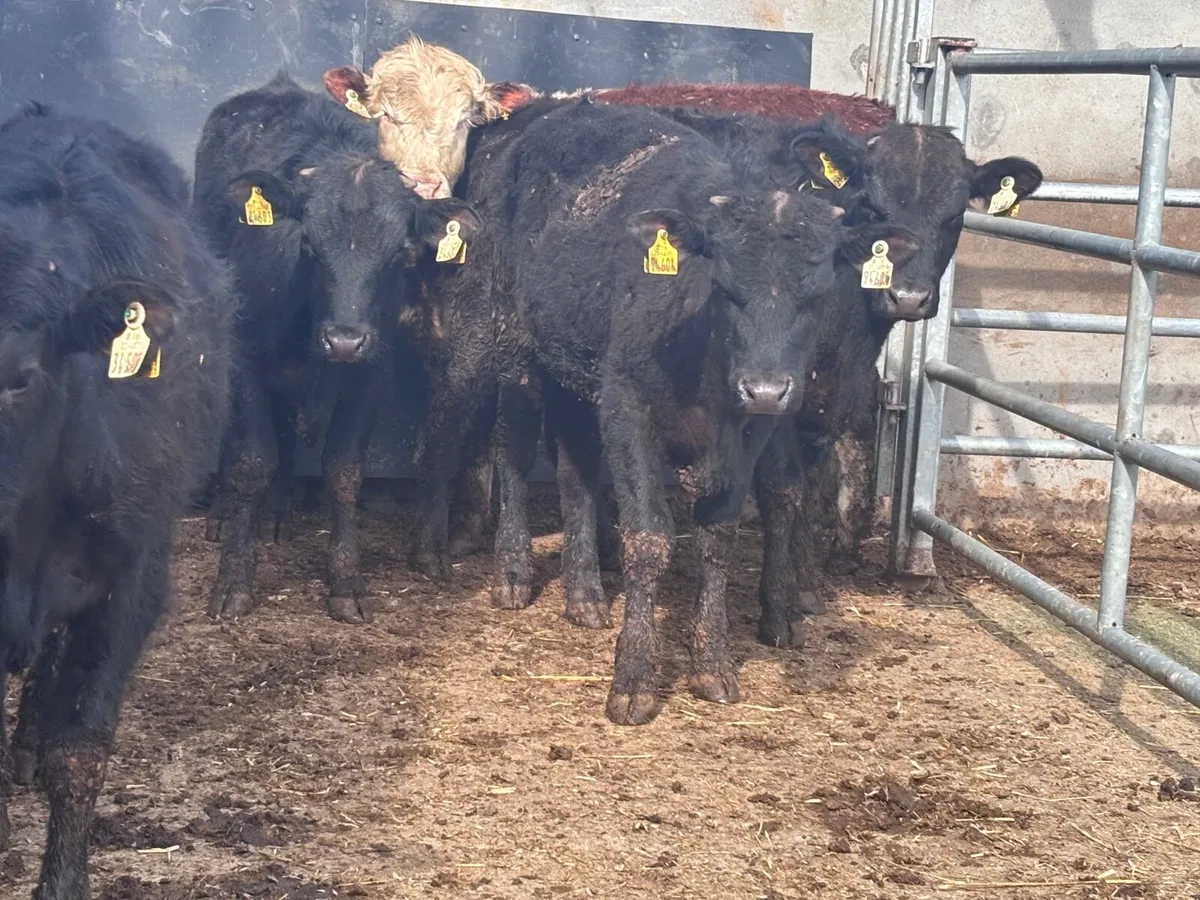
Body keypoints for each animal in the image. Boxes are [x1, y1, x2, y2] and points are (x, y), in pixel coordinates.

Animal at [194, 72, 481, 625]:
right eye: (308, 244)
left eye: (398, 253)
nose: (344, 339)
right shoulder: (246, 361)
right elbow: (251, 462)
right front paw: (234, 579)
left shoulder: (370, 375)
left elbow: (344, 473)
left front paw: (345, 583)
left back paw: (275, 516)